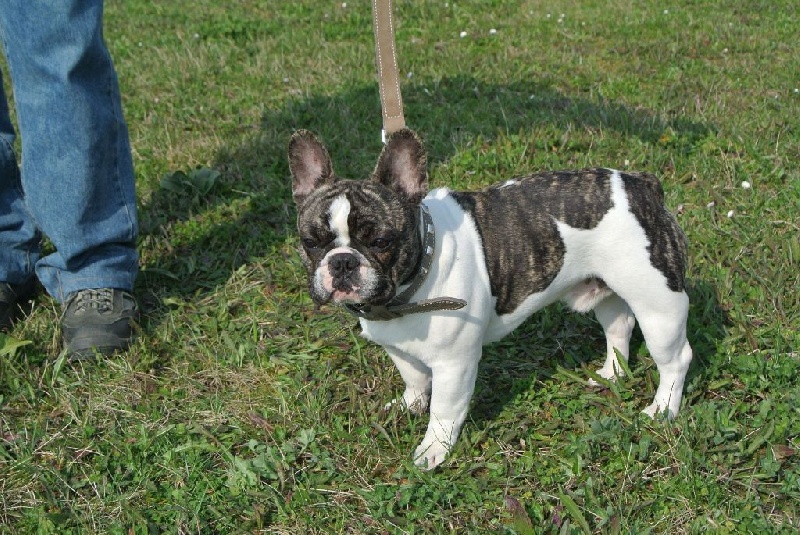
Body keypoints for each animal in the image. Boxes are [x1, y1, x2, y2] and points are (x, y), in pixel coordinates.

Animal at [288, 128, 693, 469]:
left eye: (381, 241)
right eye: (310, 242)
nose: (342, 261)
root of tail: (642, 185)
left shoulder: (454, 364)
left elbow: (445, 409)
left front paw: (433, 449)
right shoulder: (397, 347)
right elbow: (414, 378)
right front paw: (408, 406)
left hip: (659, 304)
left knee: (675, 359)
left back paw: (662, 410)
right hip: (607, 287)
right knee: (618, 325)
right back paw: (612, 373)